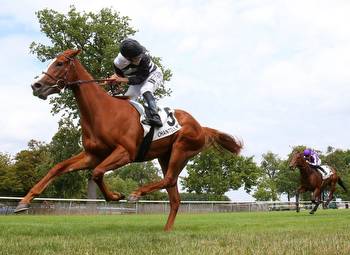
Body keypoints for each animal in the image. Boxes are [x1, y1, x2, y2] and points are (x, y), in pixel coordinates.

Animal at [14, 48, 243, 230]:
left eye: (60, 63)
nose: (36, 86)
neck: (102, 111)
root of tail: (201, 127)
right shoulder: (92, 155)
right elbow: (58, 168)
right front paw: (23, 202)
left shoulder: (125, 153)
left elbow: (97, 173)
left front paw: (116, 196)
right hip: (165, 156)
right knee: (175, 198)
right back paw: (166, 230)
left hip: (182, 149)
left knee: (170, 179)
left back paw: (136, 193)